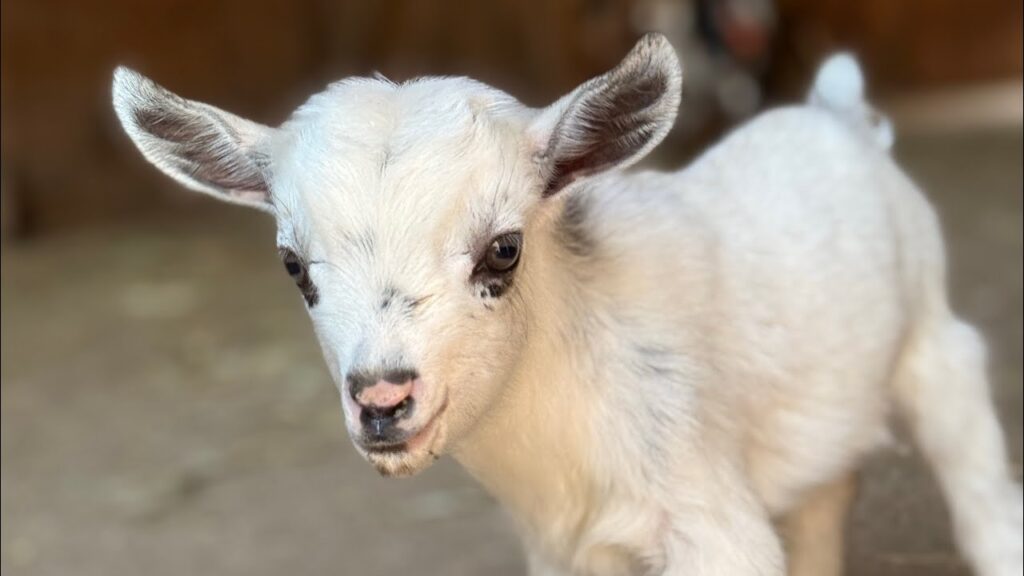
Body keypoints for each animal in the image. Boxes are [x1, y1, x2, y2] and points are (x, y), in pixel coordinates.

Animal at [112, 34, 1022, 576]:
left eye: (503, 249)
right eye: (294, 266)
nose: (383, 401)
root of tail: (839, 115)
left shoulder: (710, 524)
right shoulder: (570, 552)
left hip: (936, 349)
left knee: (978, 487)